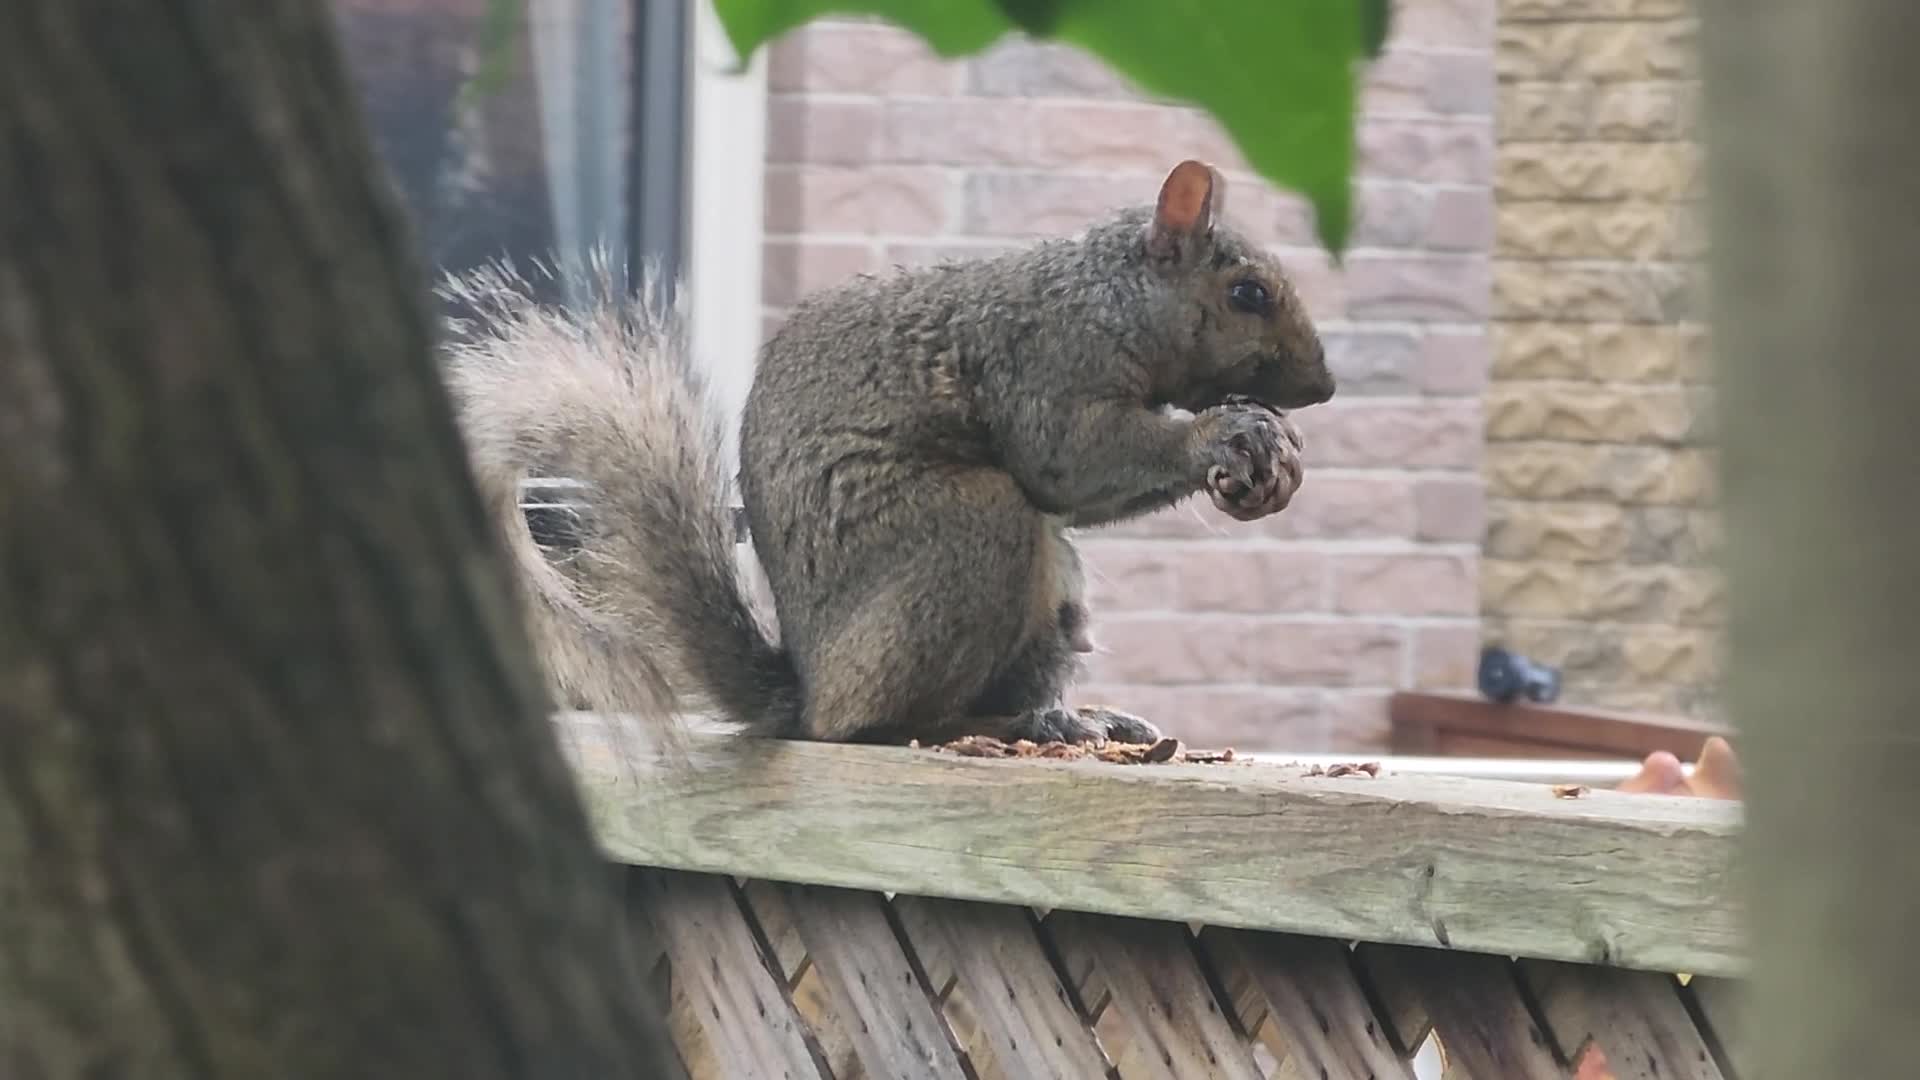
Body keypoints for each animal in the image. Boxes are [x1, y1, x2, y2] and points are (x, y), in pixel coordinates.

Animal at [441, 159, 1334, 747]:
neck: (1102, 297)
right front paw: (1222, 433)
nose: (1323, 386)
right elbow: (1070, 463)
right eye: (1247, 293)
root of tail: (809, 694)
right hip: (970, 535)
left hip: (1052, 604)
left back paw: (1070, 716)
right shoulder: (1043, 366)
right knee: (886, 718)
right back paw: (988, 723)